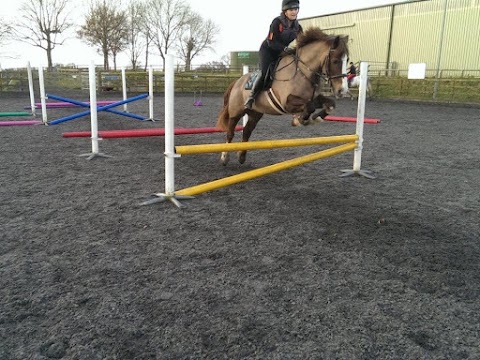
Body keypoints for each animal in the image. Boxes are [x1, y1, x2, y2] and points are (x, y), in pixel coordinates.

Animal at [216, 26, 346, 165]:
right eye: (335, 61)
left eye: (347, 60)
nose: (342, 90)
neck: (302, 71)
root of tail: (237, 81)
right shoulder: (287, 103)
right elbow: (309, 107)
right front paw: (300, 119)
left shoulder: (312, 98)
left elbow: (329, 104)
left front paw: (316, 117)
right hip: (236, 112)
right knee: (230, 132)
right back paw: (224, 157)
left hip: (255, 113)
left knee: (247, 131)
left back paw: (241, 156)